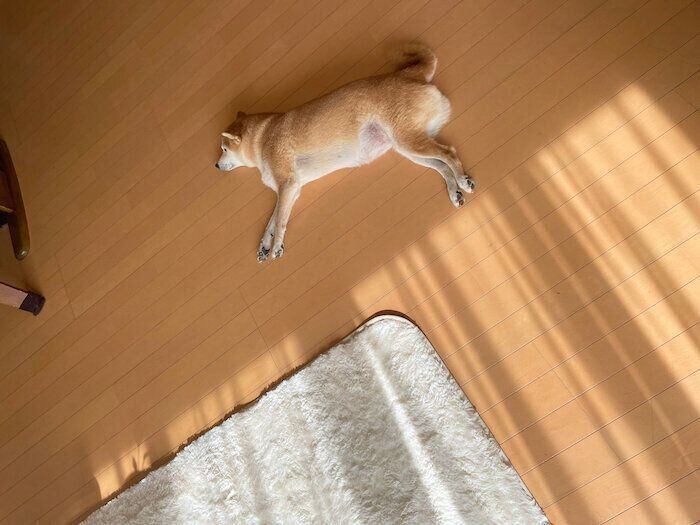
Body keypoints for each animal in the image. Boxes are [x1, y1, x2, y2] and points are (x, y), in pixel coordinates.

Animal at [215, 44, 475, 262]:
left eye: (224, 149)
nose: (215, 166)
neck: (261, 137)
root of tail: (408, 74)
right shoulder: (290, 190)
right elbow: (273, 219)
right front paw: (264, 244)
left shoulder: (287, 185)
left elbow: (279, 221)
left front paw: (277, 245)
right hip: (408, 149)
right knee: (442, 166)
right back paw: (454, 191)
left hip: (409, 142)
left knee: (449, 152)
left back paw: (463, 180)